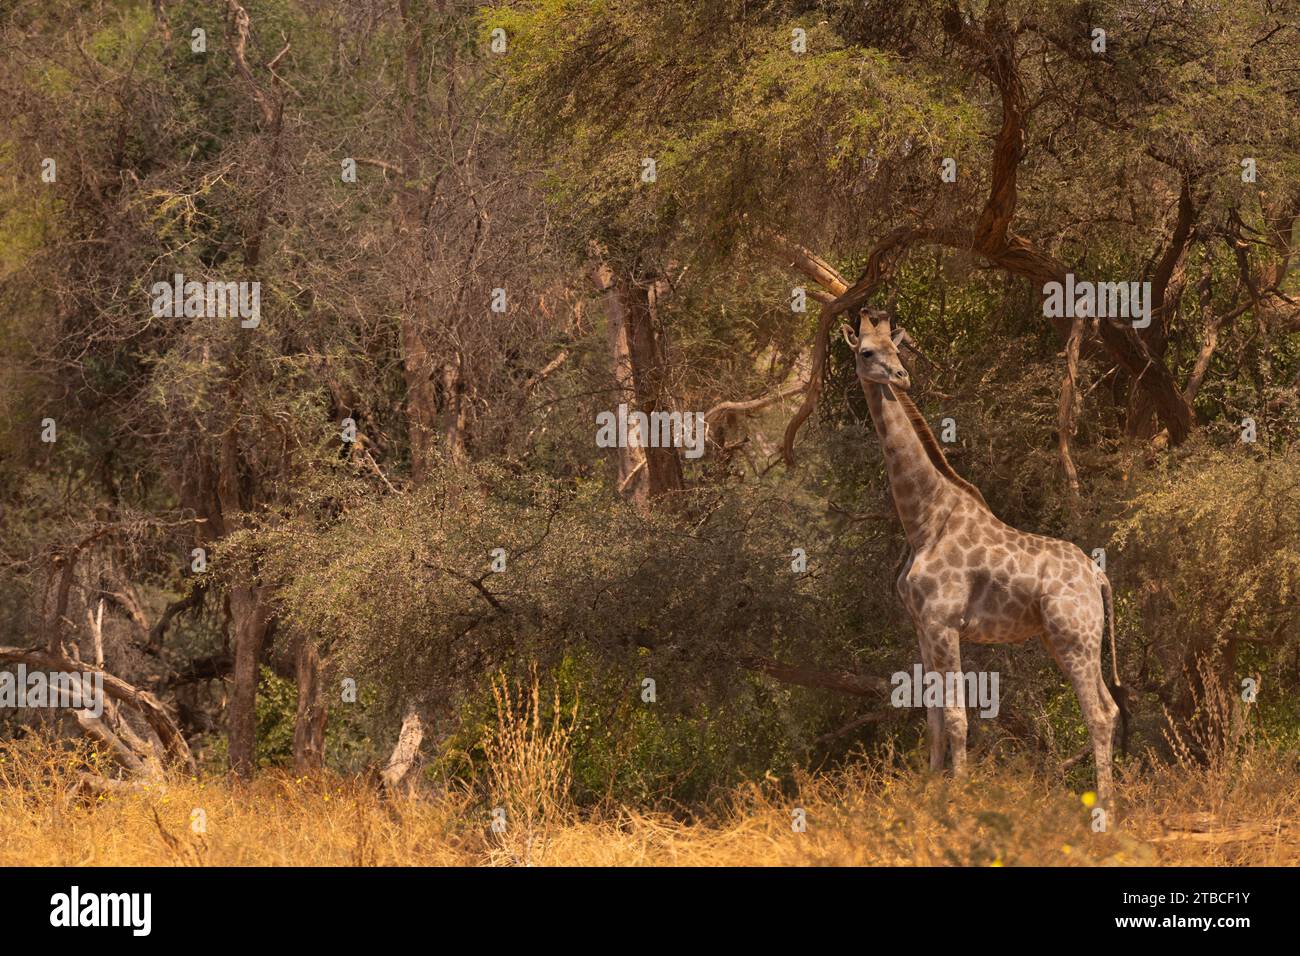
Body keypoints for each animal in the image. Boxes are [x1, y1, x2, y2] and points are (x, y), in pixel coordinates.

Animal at [842, 310, 1128, 806]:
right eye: (867, 352)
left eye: (897, 349)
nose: (901, 376)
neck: (924, 522)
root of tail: (1098, 576)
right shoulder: (921, 625)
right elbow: (934, 716)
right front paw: (929, 791)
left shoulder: (944, 623)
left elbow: (958, 717)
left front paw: (957, 794)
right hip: (1064, 639)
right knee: (1109, 709)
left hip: (1076, 637)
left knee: (1096, 713)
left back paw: (1105, 808)